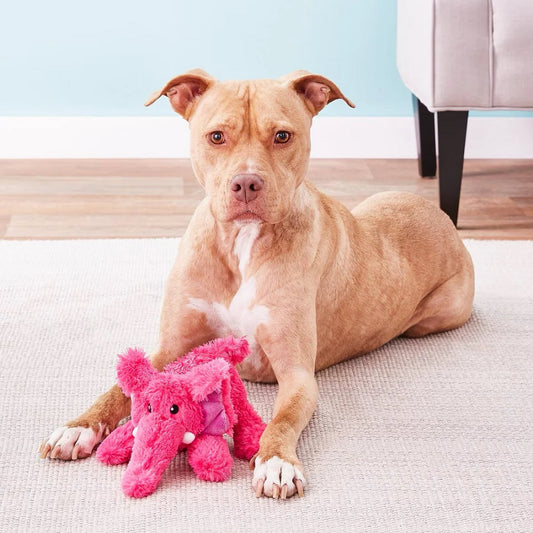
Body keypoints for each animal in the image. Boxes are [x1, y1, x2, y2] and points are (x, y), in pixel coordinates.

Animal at [41, 69, 474, 498]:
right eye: (216, 136)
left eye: (282, 135)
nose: (247, 183)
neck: (242, 242)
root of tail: (439, 214)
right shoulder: (172, 346)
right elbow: (119, 390)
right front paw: (78, 427)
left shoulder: (297, 374)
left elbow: (282, 419)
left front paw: (277, 462)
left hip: (438, 315)